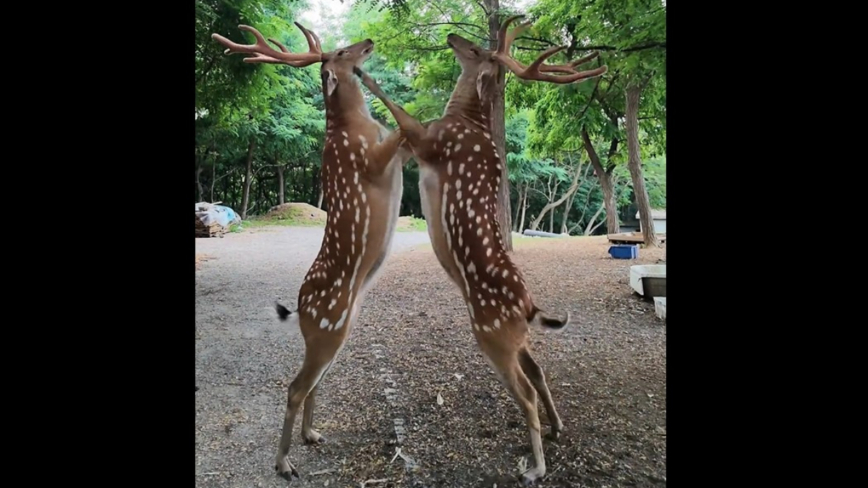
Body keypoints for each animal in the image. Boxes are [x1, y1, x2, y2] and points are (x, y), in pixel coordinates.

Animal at [211, 22, 410, 481]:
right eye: (341, 51)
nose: (368, 43)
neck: (355, 126)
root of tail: (302, 309)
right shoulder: (369, 159)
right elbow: (401, 132)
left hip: (336, 331)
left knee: (313, 383)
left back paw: (312, 435)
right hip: (328, 329)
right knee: (295, 386)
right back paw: (284, 463)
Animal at [353, 14, 607, 486]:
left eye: (476, 50)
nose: (453, 37)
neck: (465, 119)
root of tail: (530, 308)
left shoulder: (431, 141)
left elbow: (402, 113)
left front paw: (363, 72)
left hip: (492, 335)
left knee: (524, 390)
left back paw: (535, 466)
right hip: (515, 338)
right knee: (538, 371)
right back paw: (558, 428)